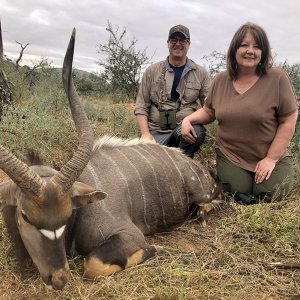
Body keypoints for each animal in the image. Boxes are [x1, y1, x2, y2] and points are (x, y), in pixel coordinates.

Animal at [0, 29, 218, 290]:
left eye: (67, 214)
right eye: (25, 216)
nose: (59, 278)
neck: (79, 217)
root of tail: (196, 166)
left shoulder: (130, 234)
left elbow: (92, 265)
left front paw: (154, 249)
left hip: (203, 196)